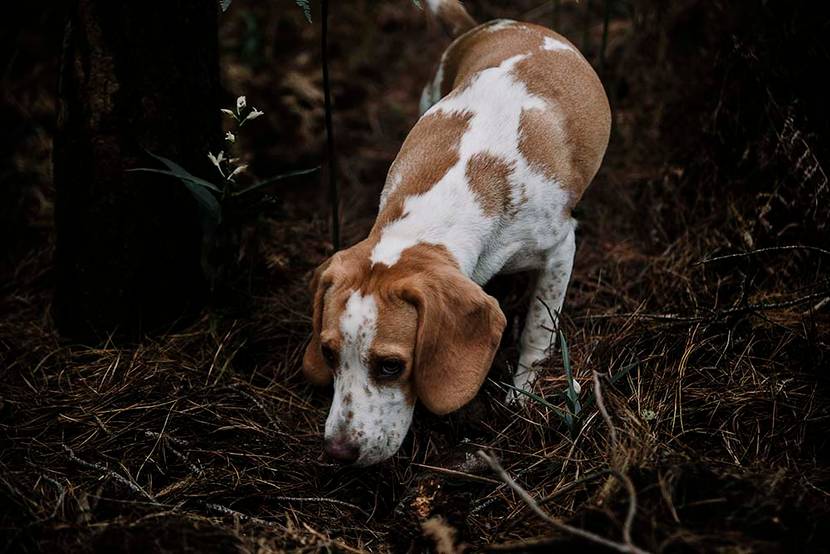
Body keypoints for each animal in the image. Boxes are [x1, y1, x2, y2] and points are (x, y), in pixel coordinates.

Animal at [304, 2, 612, 464]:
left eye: (391, 366)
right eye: (327, 352)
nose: (338, 452)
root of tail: (490, 25)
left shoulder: (560, 247)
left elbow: (538, 328)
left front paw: (524, 392)